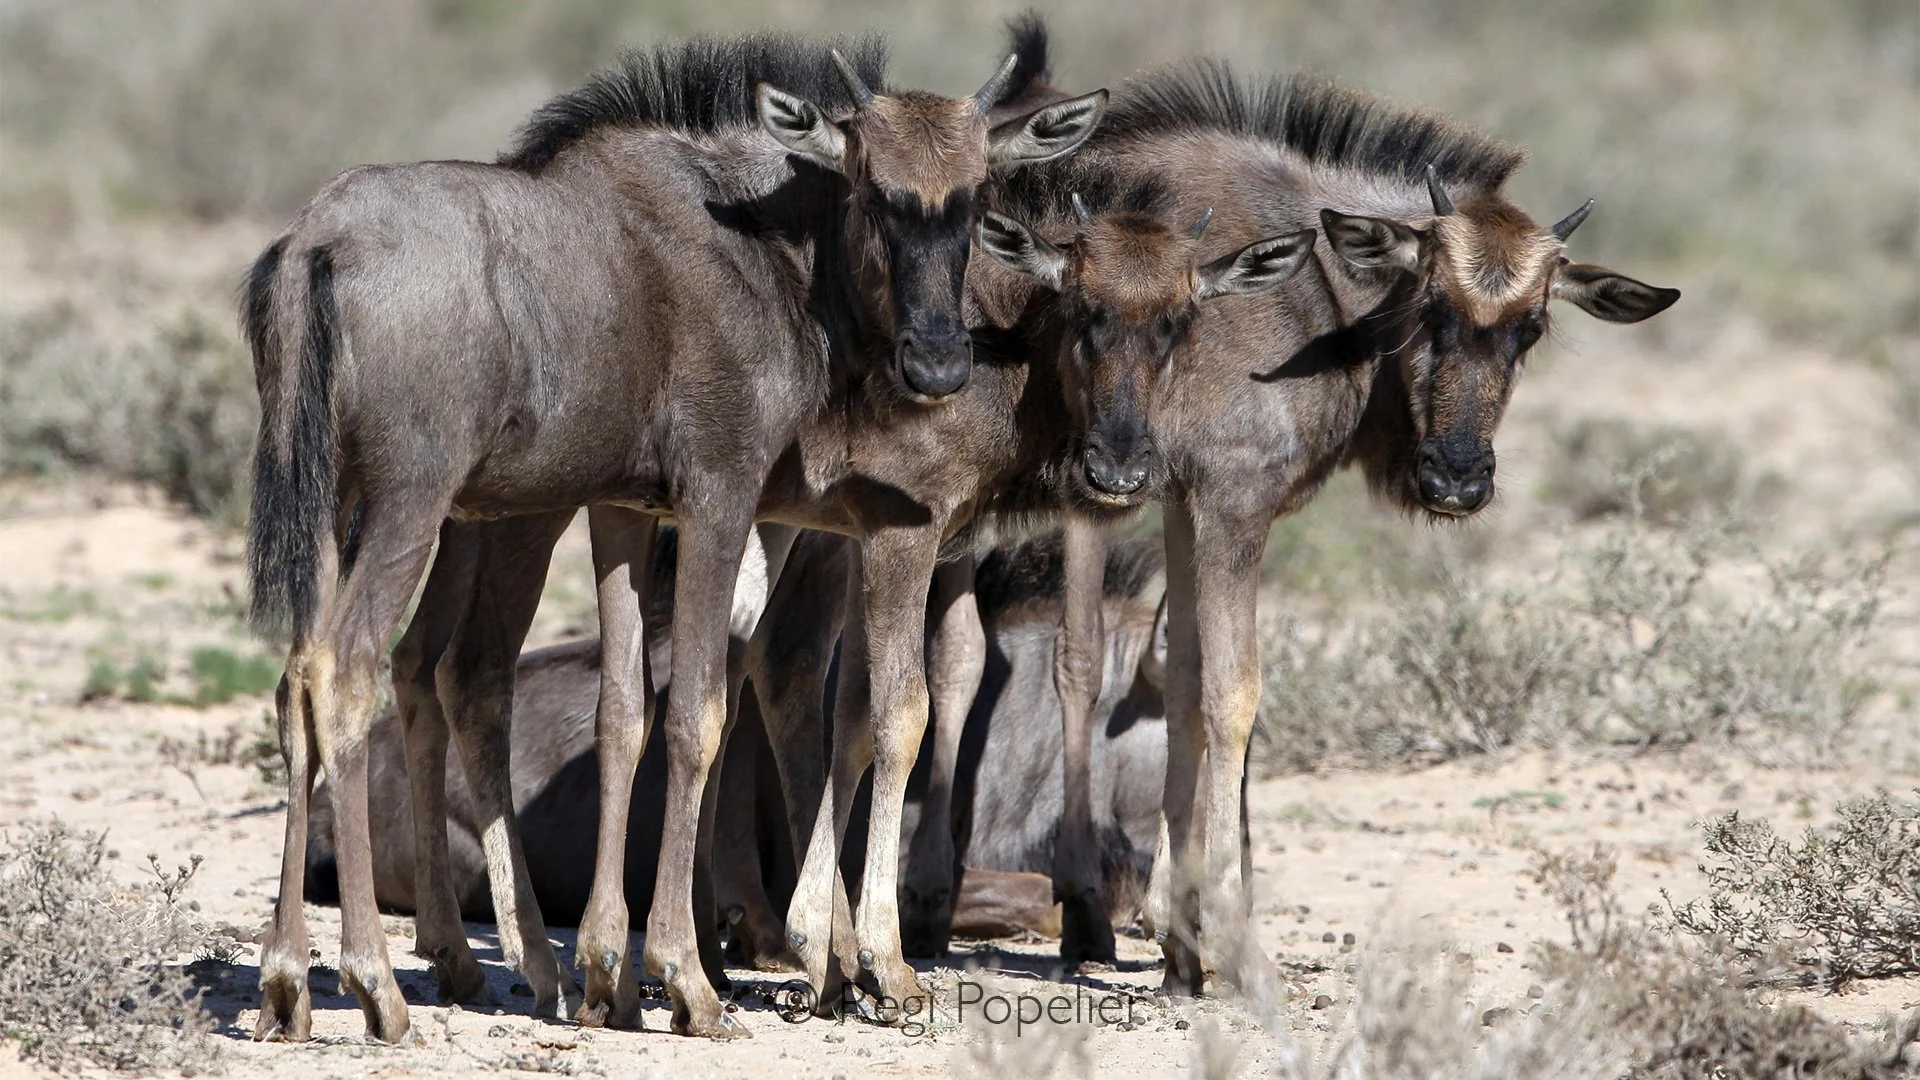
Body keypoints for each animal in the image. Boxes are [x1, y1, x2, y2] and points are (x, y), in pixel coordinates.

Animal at [240, 32, 1106, 1042]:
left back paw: (292, 981)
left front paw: (610, 976)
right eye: (871, 190)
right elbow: (700, 713)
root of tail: (317, 240)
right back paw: (377, 980)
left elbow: (628, 711)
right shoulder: (722, 497)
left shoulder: (625, 510)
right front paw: (692, 978)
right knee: (354, 673)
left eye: (971, 199)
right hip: (415, 506)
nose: (937, 363)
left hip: (337, 510)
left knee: (302, 679)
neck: (757, 245)